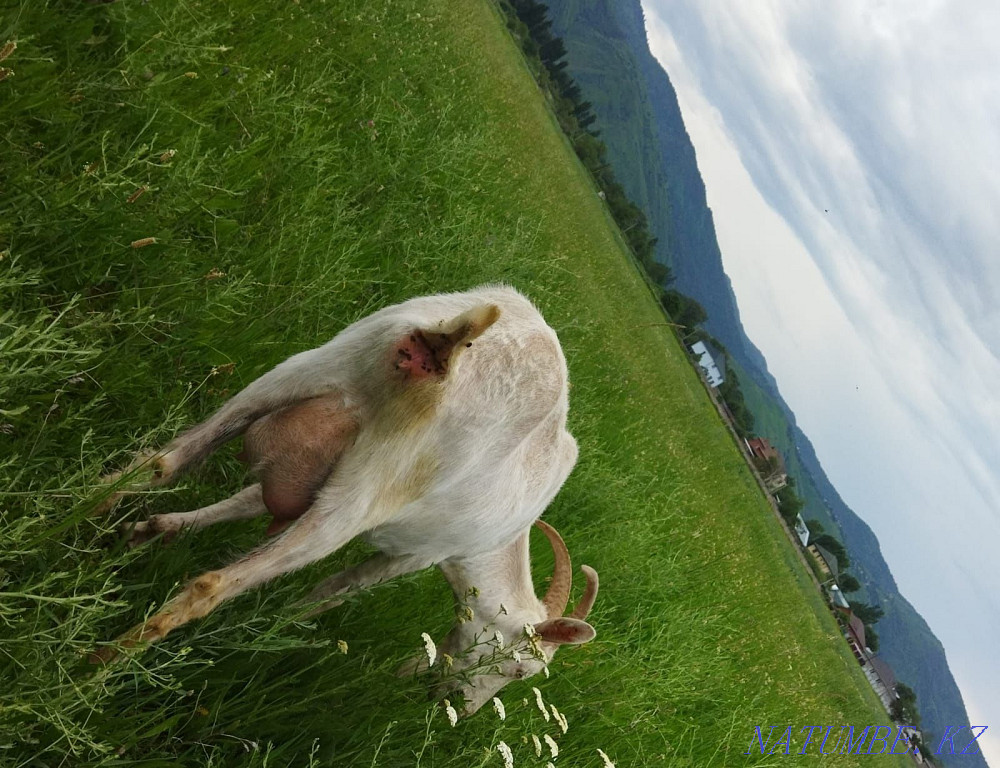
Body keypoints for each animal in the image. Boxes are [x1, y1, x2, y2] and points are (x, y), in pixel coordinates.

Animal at [95, 285, 598, 715]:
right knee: (212, 583)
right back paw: (101, 663)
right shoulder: (416, 555)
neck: (498, 542)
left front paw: (150, 530)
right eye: (521, 670)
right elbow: (336, 590)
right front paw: (279, 622)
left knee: (163, 462)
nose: (457, 705)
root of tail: (446, 345)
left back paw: (83, 518)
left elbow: (247, 500)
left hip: (307, 370)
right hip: (375, 483)